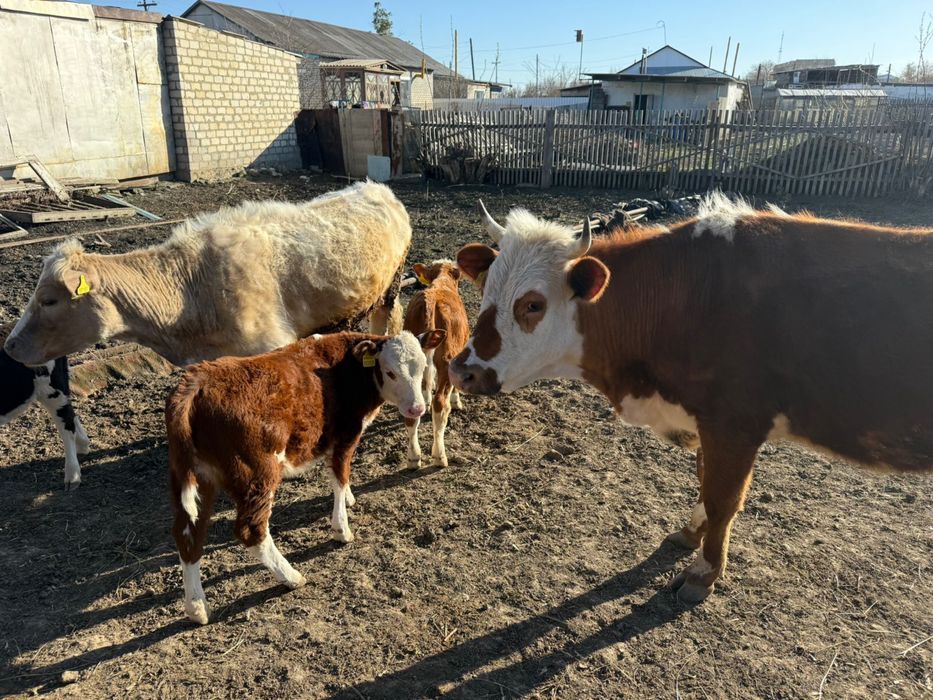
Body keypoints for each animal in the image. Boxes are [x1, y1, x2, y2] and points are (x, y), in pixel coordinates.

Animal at [4, 181, 410, 367]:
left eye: (49, 300)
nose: (8, 346)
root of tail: (374, 186)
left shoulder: (271, 344)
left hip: (390, 290)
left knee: (389, 321)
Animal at [165, 329, 445, 625]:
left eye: (422, 368)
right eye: (390, 372)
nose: (417, 408)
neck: (346, 366)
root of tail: (196, 382)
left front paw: (349, 499)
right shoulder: (345, 434)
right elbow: (340, 475)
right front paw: (341, 529)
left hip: (195, 478)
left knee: (188, 534)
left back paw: (197, 608)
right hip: (257, 474)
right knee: (251, 530)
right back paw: (291, 576)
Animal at [402, 260, 469, 468]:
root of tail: (430, 300)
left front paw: (426, 399)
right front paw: (456, 401)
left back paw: (413, 458)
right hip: (446, 359)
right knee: (440, 404)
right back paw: (439, 456)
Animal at [449, 194, 933, 604]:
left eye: (532, 305)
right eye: (485, 290)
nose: (461, 370)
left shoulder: (734, 425)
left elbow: (723, 499)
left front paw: (704, 572)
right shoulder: (705, 422)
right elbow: (704, 483)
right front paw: (689, 532)